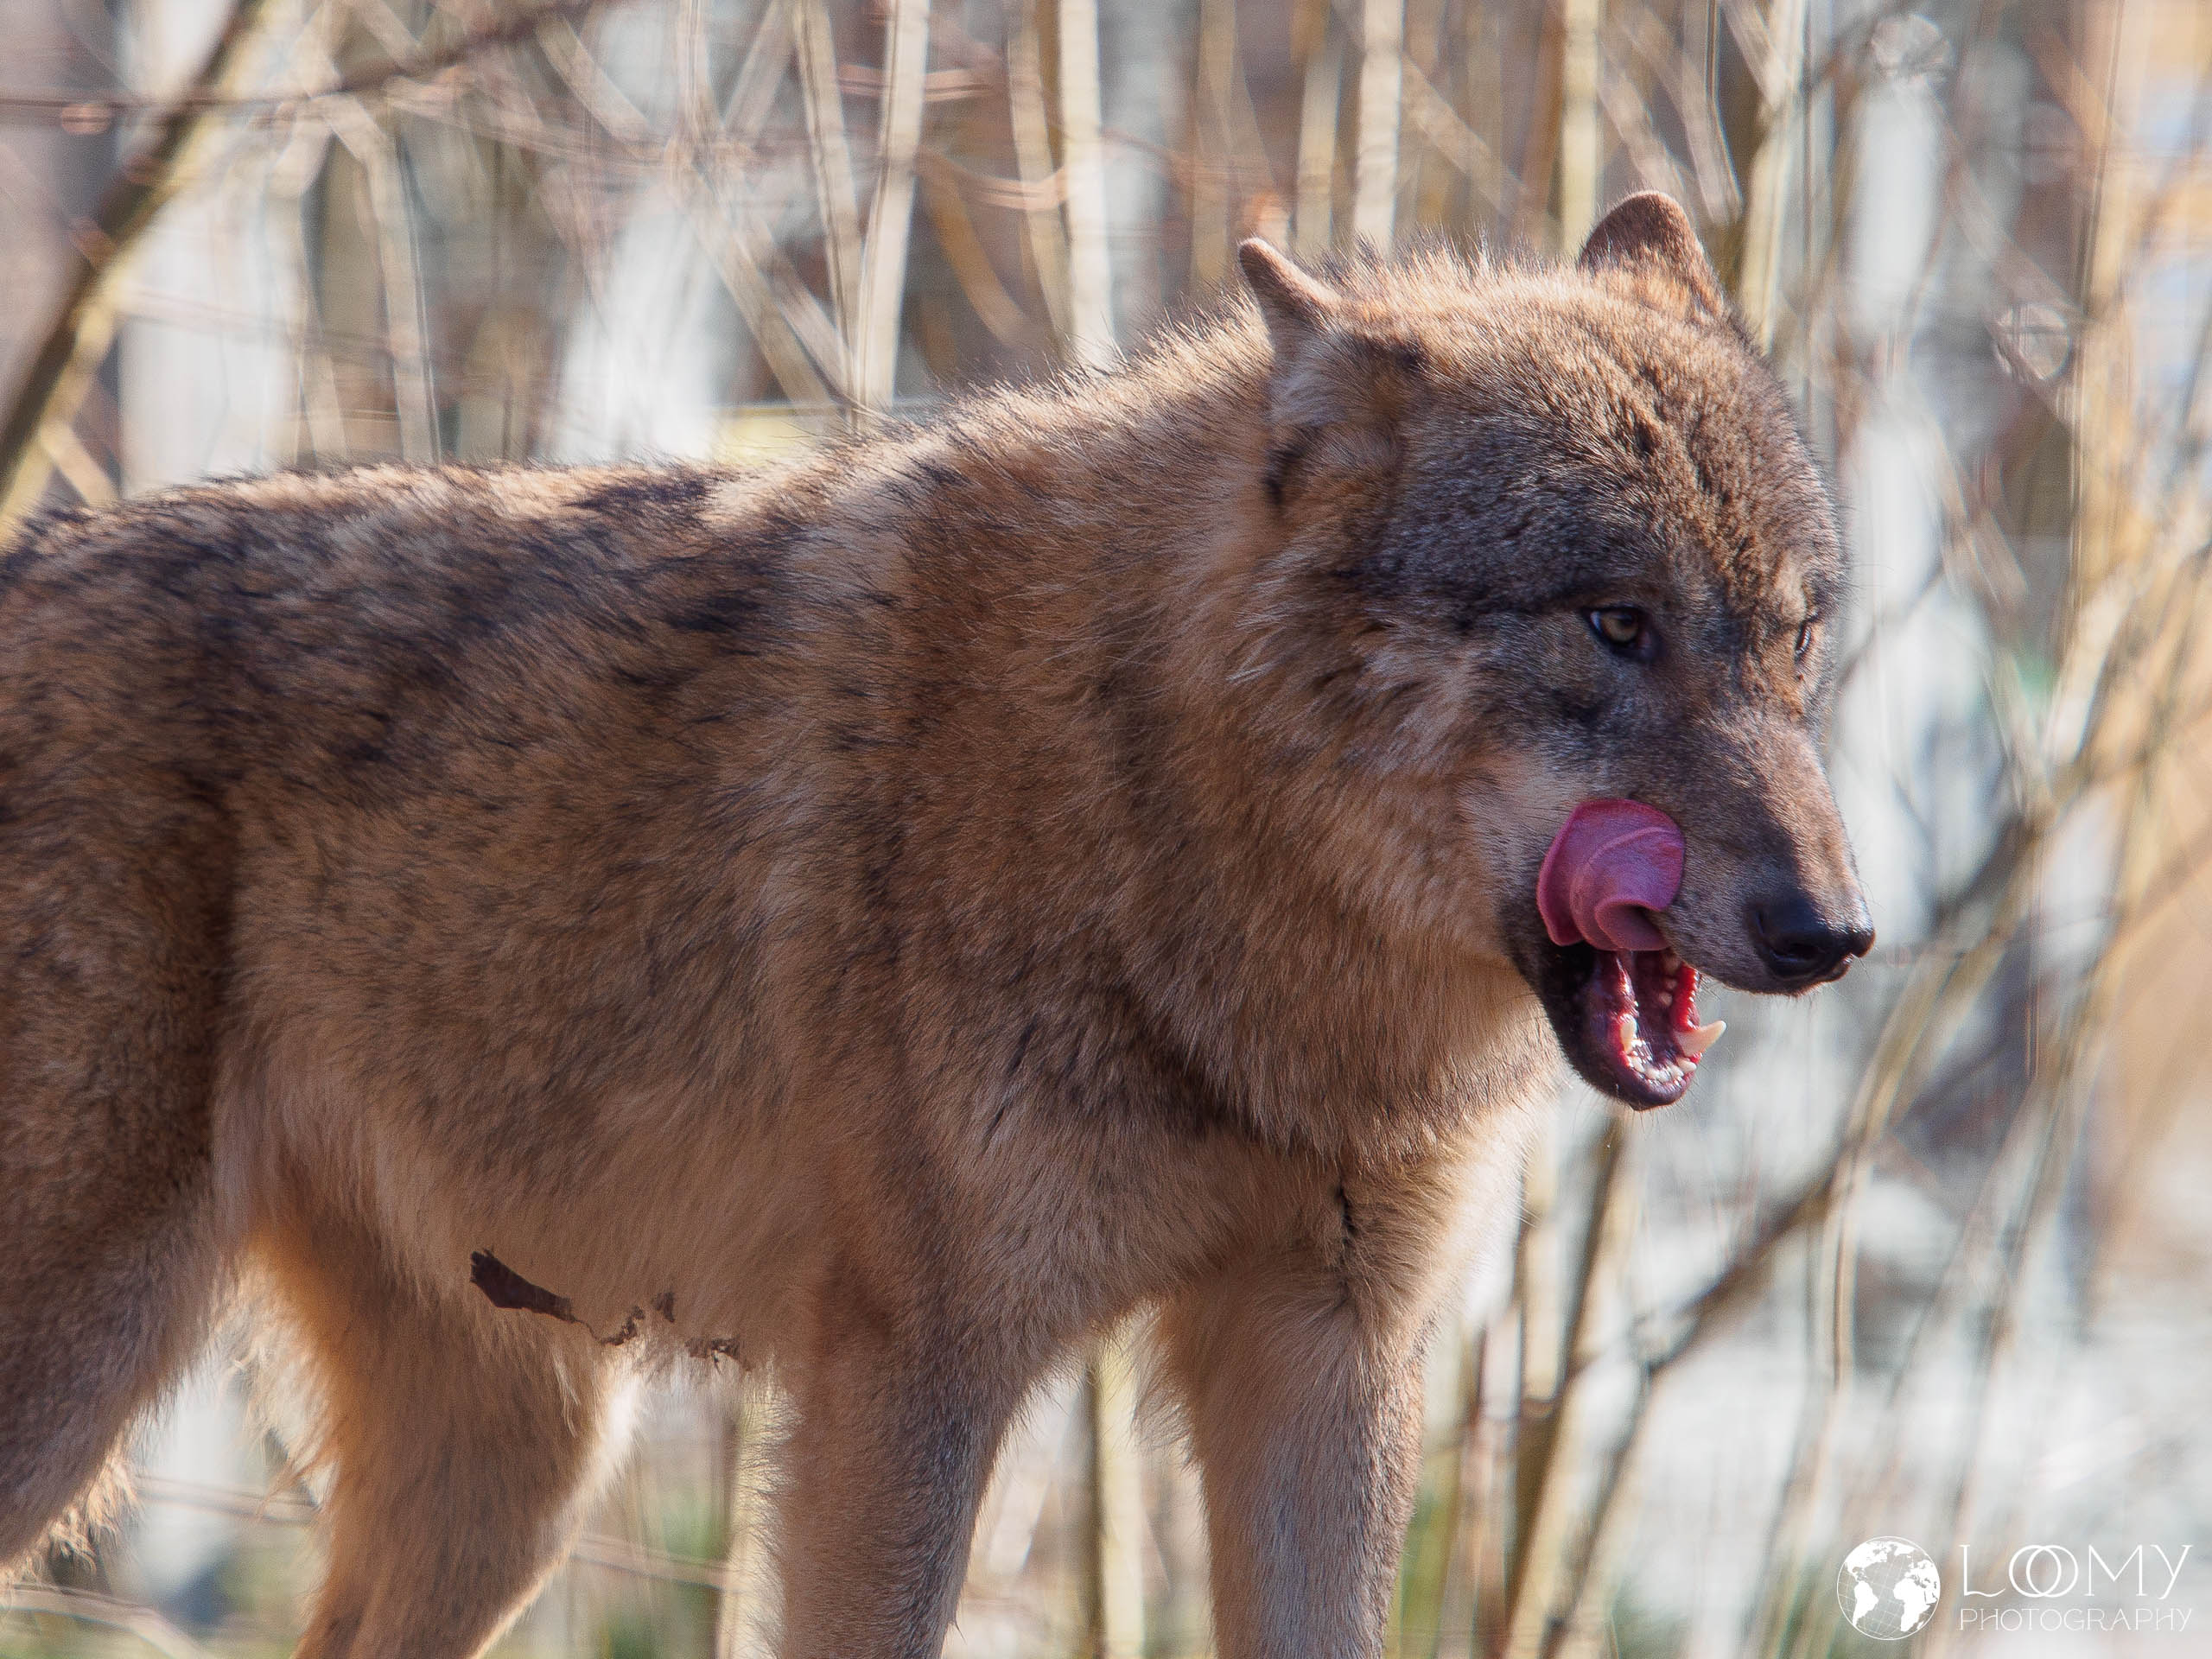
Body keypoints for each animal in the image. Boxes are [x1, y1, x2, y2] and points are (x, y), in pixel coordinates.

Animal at [0, 193, 1869, 1658]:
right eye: (1614, 624)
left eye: (1793, 638)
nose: (1836, 934)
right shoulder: (905, 1385)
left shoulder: (1321, 1363)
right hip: (99, 1382)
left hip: (519, 1476)